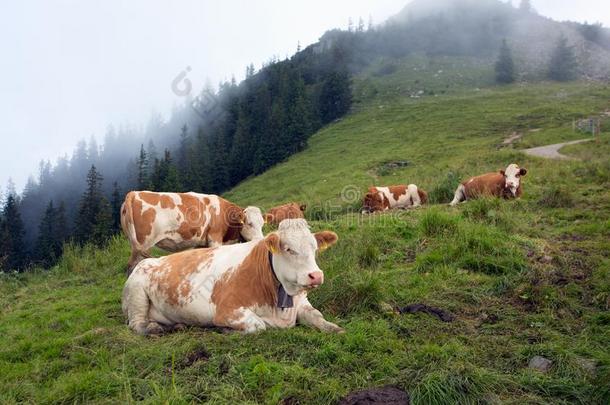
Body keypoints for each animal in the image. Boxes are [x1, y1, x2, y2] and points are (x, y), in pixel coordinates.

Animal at [120, 190, 262, 274]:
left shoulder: (201, 243)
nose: (260, 241)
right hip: (144, 244)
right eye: (249, 223)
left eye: (262, 224)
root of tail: (134, 193)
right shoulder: (215, 239)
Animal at [122, 219, 342, 332]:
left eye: (314, 248)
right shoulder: (227, 311)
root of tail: (149, 260)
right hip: (137, 294)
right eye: (288, 249)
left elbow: (317, 316)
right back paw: (152, 329)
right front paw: (226, 330)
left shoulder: (301, 302)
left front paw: (334, 328)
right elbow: (259, 325)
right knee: (136, 324)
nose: (315, 275)